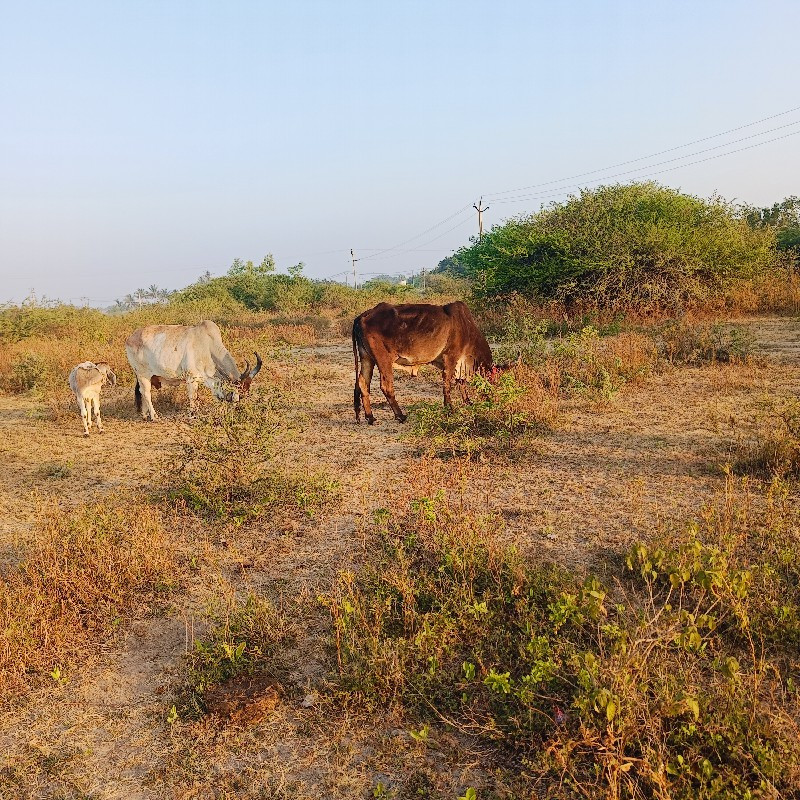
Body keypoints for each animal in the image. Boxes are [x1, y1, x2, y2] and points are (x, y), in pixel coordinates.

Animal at [125, 318, 262, 418]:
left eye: (246, 394)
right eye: (240, 396)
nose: (240, 410)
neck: (208, 346)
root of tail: (130, 338)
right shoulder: (191, 378)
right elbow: (193, 397)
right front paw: (192, 414)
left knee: (142, 393)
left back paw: (144, 415)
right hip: (142, 374)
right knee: (146, 393)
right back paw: (154, 416)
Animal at [354, 302, 496, 424]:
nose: (494, 399)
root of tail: (363, 316)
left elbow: (461, 382)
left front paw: (468, 402)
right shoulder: (451, 357)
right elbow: (447, 385)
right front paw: (450, 409)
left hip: (367, 358)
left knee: (362, 384)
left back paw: (370, 417)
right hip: (383, 359)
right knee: (385, 386)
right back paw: (400, 415)